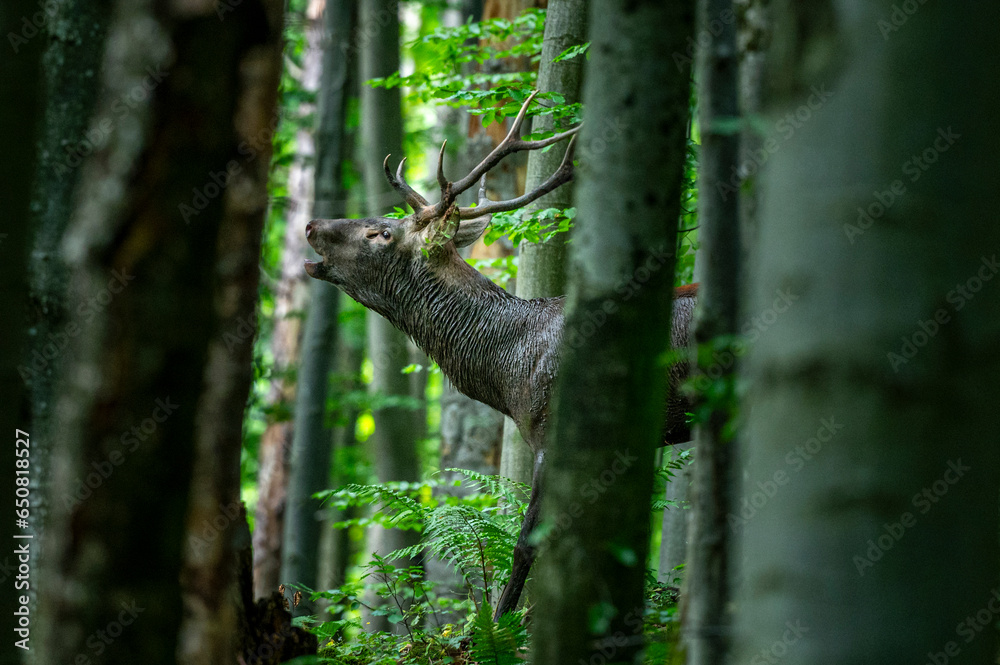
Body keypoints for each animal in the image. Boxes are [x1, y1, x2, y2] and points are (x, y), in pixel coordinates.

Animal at [304, 92, 697, 620]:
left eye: (380, 233)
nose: (310, 224)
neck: (507, 371)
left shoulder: (551, 430)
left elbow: (527, 544)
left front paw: (499, 624)